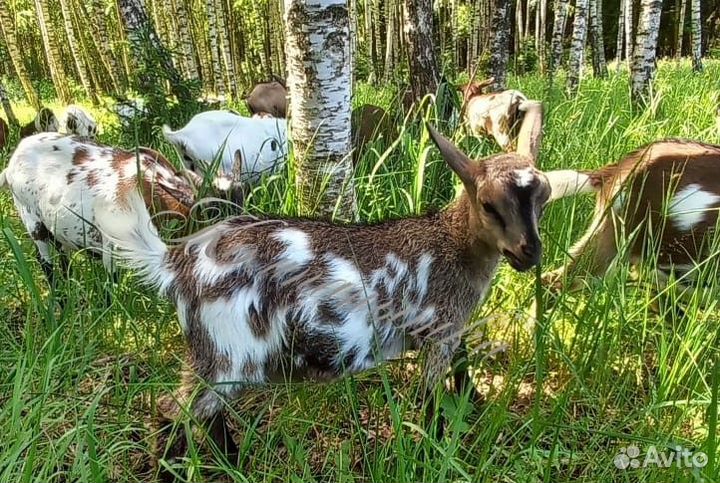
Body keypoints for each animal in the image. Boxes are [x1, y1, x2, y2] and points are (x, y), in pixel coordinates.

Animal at [94, 101, 549, 466]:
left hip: (214, 353)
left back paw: (234, 464)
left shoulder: (452, 330)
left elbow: (463, 369)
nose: (529, 252)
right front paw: (431, 454)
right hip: (228, 350)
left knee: (203, 414)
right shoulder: (440, 332)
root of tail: (175, 262)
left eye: (543, 197)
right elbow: (431, 403)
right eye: (488, 204)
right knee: (174, 410)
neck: (450, 241)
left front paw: (475, 408)